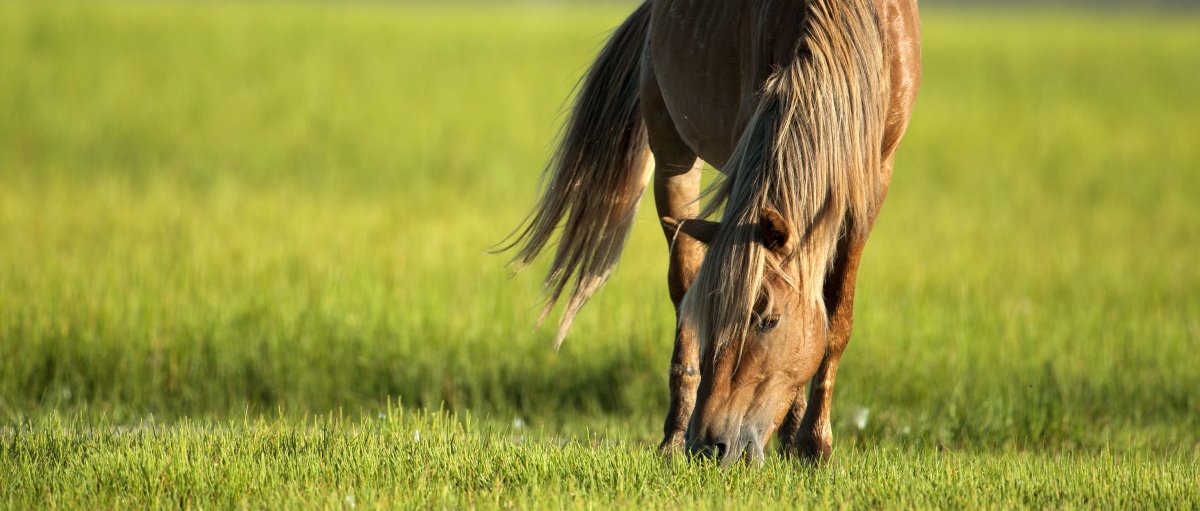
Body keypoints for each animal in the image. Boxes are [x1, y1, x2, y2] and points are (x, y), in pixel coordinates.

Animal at [501, 0, 921, 465]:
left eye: (769, 321)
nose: (710, 445)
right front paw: (800, 441)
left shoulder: (873, 179)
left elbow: (836, 318)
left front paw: (812, 445)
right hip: (673, 157)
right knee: (683, 282)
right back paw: (674, 435)